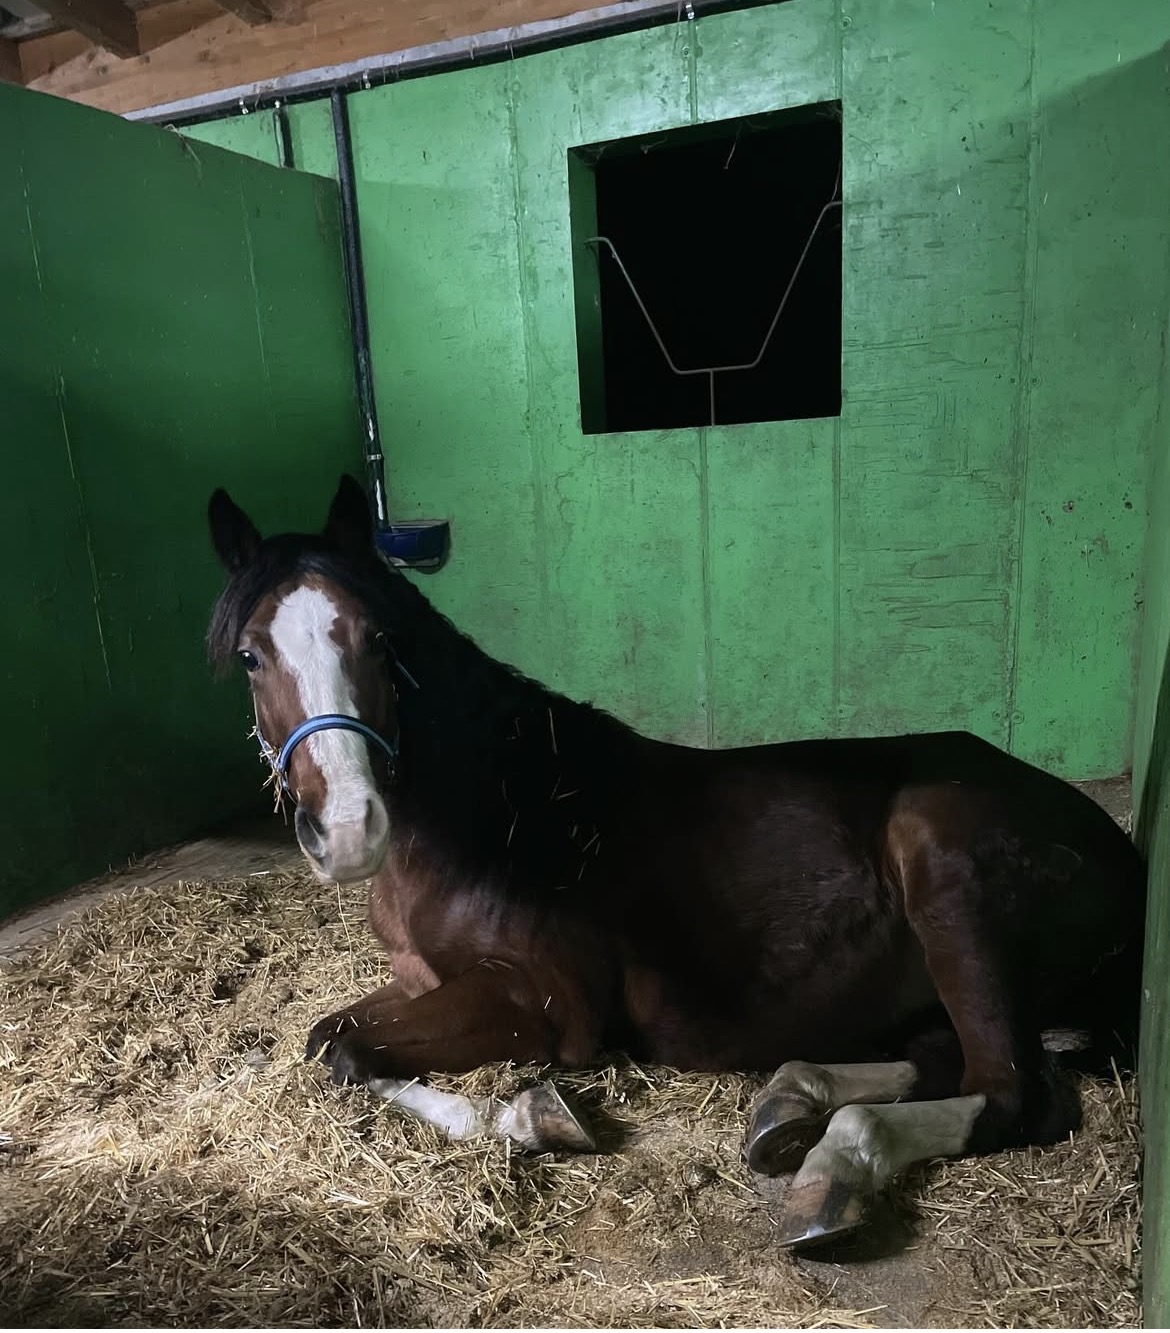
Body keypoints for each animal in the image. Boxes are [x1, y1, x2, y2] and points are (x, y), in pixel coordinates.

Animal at [206, 473, 1145, 1250]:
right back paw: (792, 1102)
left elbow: (348, 1054)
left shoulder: (541, 1002)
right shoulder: (419, 979)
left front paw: (537, 1115)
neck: (498, 813)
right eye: (251, 655)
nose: (350, 825)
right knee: (940, 1060)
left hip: (940, 860)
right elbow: (326, 1039)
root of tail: (1115, 846)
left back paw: (833, 1168)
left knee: (1009, 1091)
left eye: (378, 639)